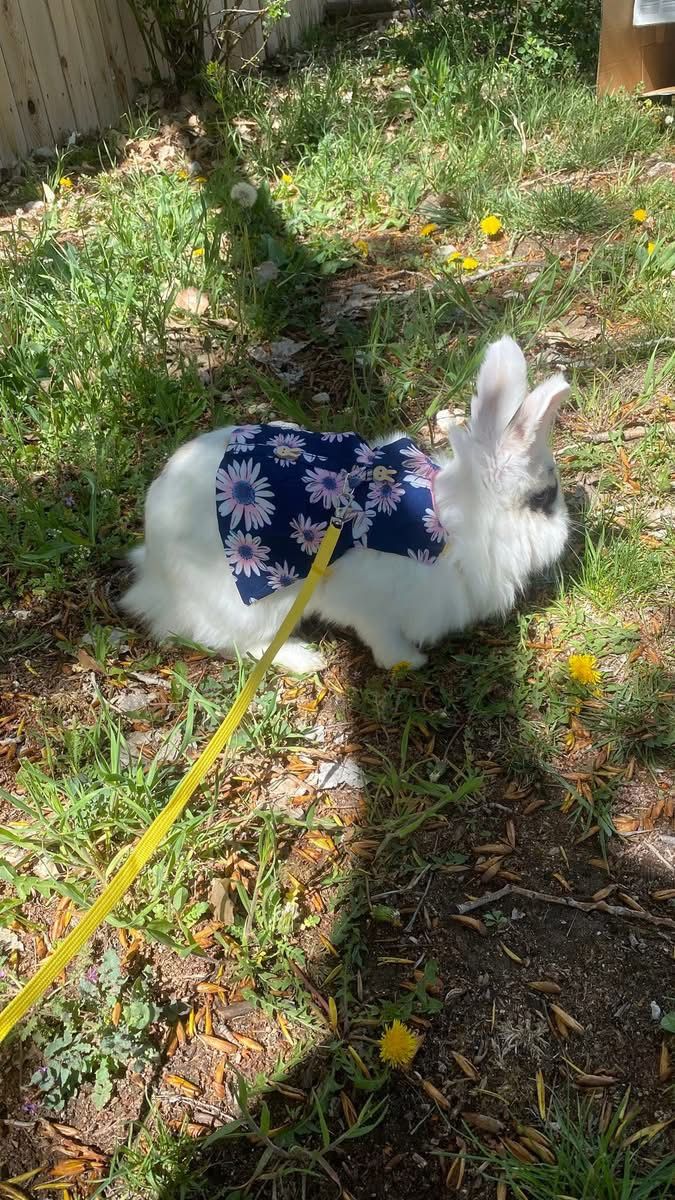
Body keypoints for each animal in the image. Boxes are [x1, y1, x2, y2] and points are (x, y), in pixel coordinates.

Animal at [120, 337, 570, 674]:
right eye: (543, 499)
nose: (566, 535)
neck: (444, 523)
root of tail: (155, 571)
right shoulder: (370, 608)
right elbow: (381, 638)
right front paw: (408, 661)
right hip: (260, 603)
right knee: (245, 644)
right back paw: (306, 660)